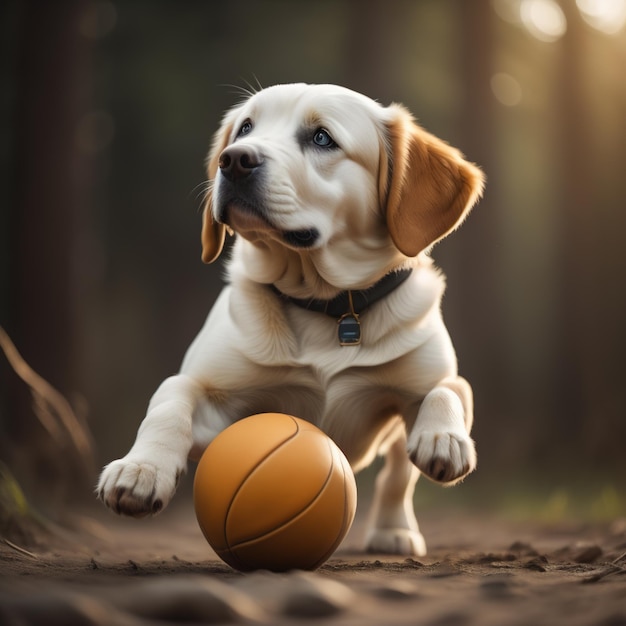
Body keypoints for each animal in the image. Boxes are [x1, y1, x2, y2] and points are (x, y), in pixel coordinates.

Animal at [97, 83, 486, 556]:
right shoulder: (216, 402)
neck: (328, 305)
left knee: (397, 475)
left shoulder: (427, 380)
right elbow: (171, 396)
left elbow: (450, 391)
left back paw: (394, 531)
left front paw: (444, 439)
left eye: (322, 138)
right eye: (246, 128)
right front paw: (141, 470)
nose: (234, 159)